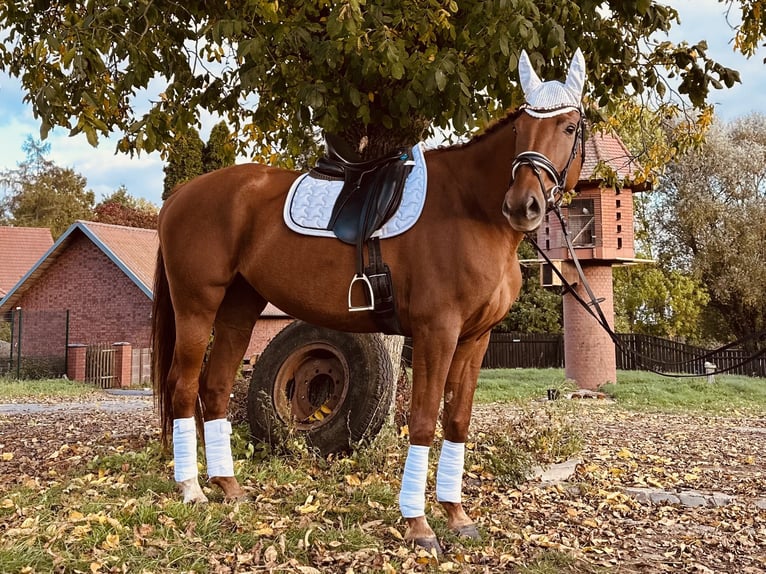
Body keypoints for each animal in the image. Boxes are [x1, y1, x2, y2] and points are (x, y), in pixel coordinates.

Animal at [152, 49, 587, 552]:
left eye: (569, 128)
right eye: (520, 131)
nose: (523, 205)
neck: (471, 210)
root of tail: (181, 196)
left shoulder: (475, 338)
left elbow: (457, 421)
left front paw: (456, 516)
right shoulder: (437, 332)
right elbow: (423, 420)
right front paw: (419, 525)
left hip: (238, 311)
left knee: (215, 388)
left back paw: (228, 486)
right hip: (196, 307)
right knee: (185, 389)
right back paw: (192, 489)